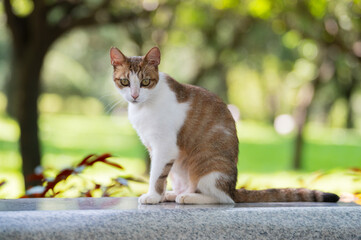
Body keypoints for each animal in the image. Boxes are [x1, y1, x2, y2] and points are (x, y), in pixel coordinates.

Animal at [109, 47, 338, 204]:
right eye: (125, 82)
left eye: (145, 82)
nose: (135, 95)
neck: (145, 106)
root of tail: (232, 187)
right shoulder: (153, 147)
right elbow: (161, 175)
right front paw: (161, 195)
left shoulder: (164, 146)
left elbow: (156, 175)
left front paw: (153, 196)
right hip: (181, 167)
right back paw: (178, 193)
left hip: (207, 167)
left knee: (222, 198)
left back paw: (189, 197)